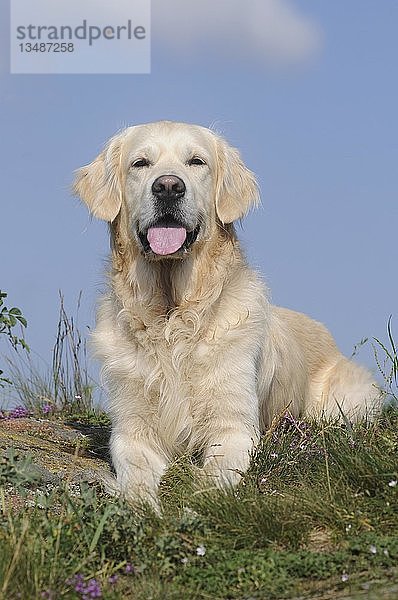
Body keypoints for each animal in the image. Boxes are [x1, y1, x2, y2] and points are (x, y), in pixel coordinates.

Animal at [73, 119, 380, 504]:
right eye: (140, 163)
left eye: (196, 161)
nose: (168, 187)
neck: (172, 316)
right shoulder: (131, 430)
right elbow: (137, 476)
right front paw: (140, 504)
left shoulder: (234, 428)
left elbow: (216, 477)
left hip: (348, 401)